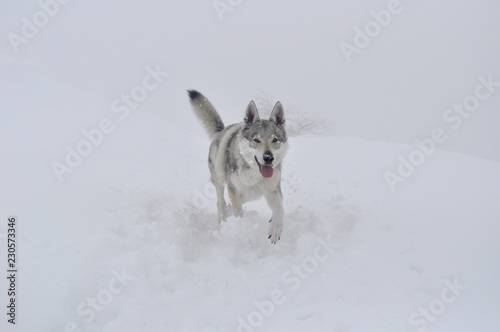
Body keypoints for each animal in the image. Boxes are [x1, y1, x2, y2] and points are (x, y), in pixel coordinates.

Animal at [188, 89, 290, 243]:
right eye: (256, 140)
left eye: (275, 140)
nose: (268, 158)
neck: (255, 174)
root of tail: (222, 130)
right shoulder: (234, 190)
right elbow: (238, 213)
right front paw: (240, 231)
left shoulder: (273, 190)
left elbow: (279, 209)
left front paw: (275, 229)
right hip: (220, 178)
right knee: (221, 202)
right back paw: (223, 218)